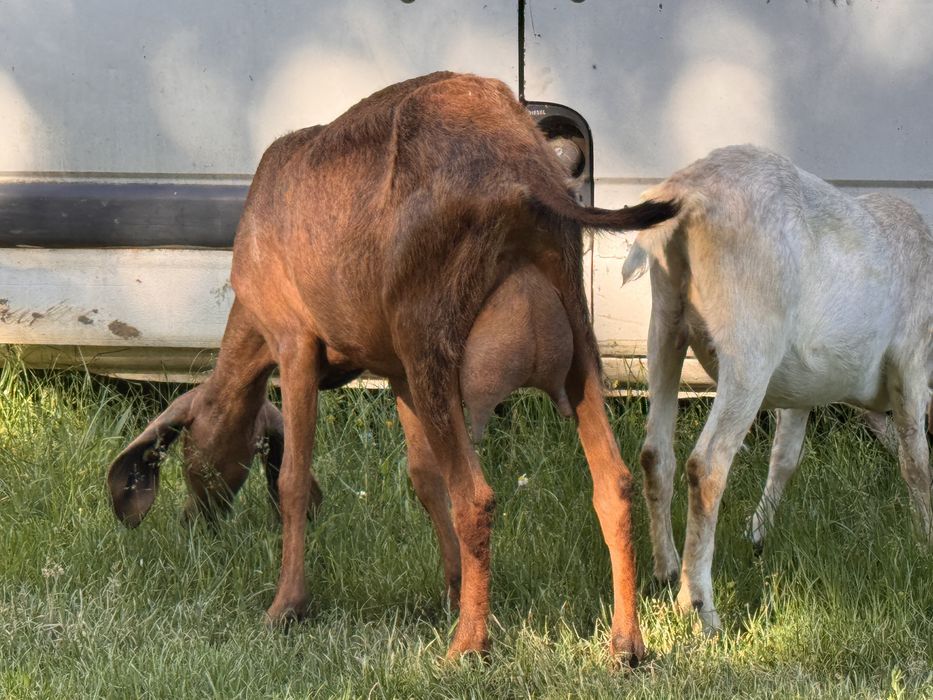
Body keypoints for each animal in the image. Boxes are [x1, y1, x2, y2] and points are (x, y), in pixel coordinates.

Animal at [106, 72, 677, 662]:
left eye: (187, 454)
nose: (193, 520)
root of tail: (526, 172)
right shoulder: (396, 371)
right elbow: (423, 478)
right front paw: (451, 587)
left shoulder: (295, 344)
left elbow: (293, 481)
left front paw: (287, 606)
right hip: (572, 341)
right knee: (614, 482)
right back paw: (625, 642)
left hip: (431, 340)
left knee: (477, 497)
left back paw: (468, 646)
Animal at [622, 144, 933, 633]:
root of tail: (686, 191)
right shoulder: (911, 361)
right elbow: (916, 460)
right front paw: (925, 542)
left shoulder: (801, 390)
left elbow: (784, 458)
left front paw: (757, 534)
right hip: (749, 346)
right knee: (706, 465)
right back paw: (700, 608)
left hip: (665, 323)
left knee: (656, 452)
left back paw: (666, 569)